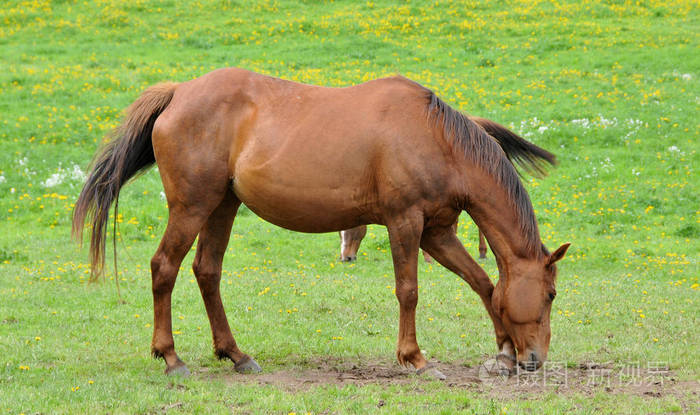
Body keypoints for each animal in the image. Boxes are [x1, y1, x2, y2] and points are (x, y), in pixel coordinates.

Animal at [74, 69, 568, 380]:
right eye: (550, 294)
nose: (535, 360)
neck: (436, 137)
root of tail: (179, 93)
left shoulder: (437, 232)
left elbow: (484, 283)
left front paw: (502, 353)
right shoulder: (405, 223)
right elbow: (409, 290)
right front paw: (416, 360)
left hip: (222, 207)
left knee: (206, 271)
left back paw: (236, 354)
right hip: (192, 207)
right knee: (164, 268)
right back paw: (172, 358)